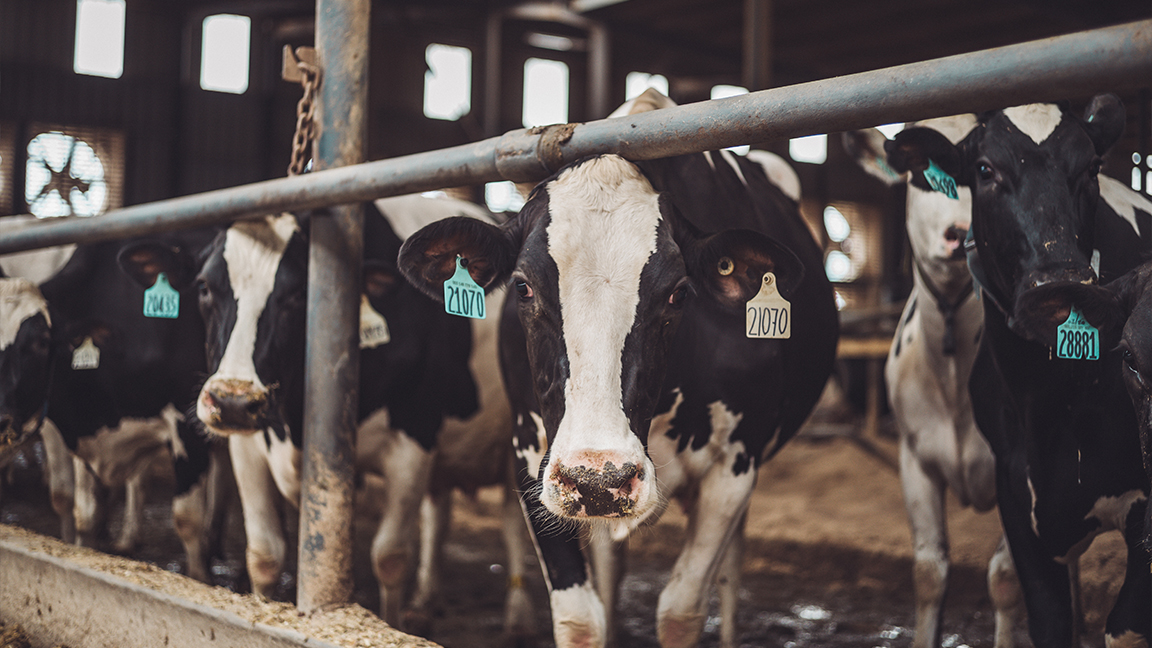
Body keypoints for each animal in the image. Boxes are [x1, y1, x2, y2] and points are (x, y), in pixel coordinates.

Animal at [193, 192, 534, 636]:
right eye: (204, 288)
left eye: (298, 294)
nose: (233, 401)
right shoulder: (249, 446)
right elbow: (264, 554)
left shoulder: (414, 438)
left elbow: (390, 557)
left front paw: (393, 624)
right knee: (439, 512)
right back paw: (425, 601)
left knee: (513, 519)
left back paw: (517, 616)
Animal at [398, 87, 838, 645]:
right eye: (523, 287)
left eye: (678, 293)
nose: (597, 478)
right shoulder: (532, 454)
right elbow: (580, 617)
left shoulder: (734, 465)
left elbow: (680, 610)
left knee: (731, 570)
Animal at [889, 92, 1152, 645]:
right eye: (985, 170)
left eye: (1092, 167)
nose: (1058, 282)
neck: (1050, 398)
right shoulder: (1016, 497)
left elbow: (1123, 627)